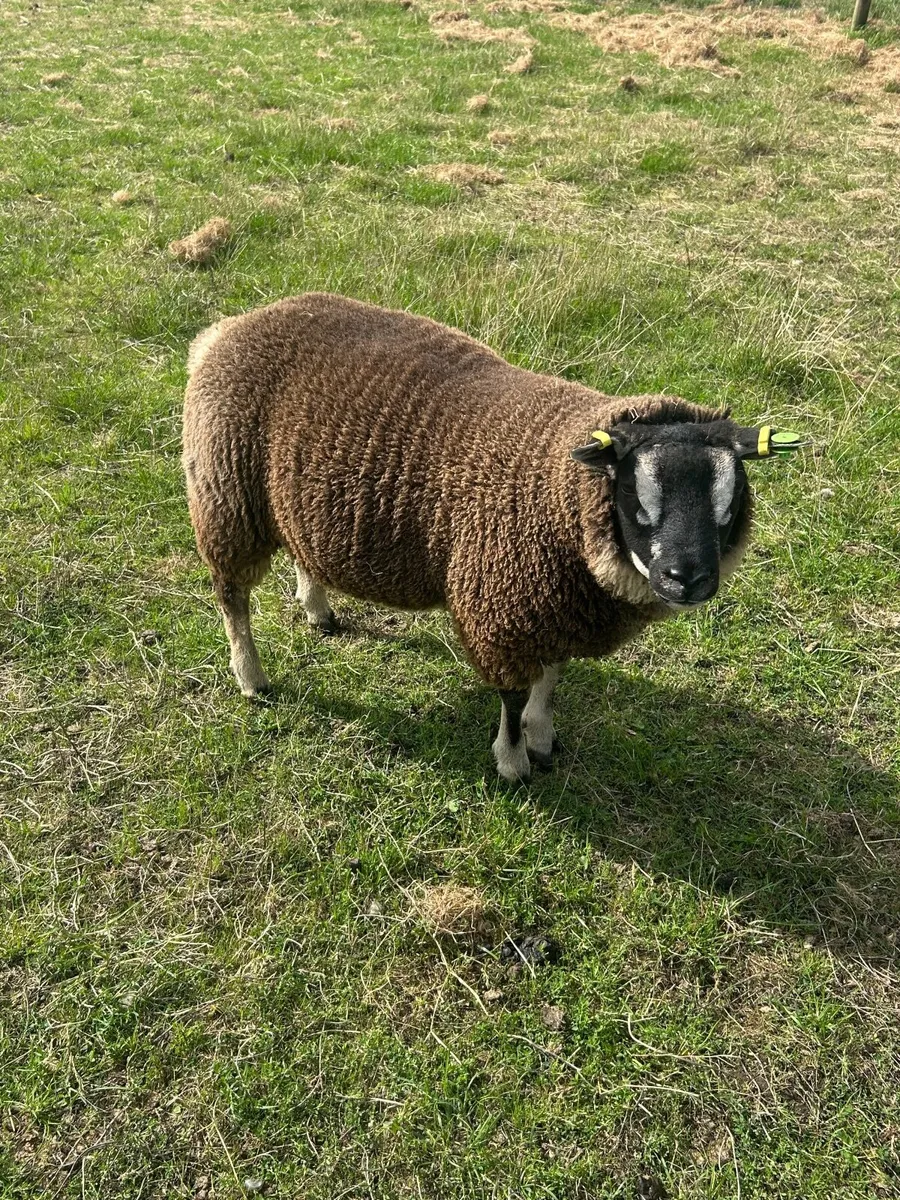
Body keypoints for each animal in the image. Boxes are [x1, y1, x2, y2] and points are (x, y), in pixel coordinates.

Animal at [182, 292, 802, 783]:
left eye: (729, 500)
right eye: (632, 489)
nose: (687, 578)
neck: (553, 484)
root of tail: (227, 328)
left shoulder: (556, 607)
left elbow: (552, 678)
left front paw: (543, 736)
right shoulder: (504, 608)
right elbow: (512, 695)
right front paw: (513, 761)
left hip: (291, 499)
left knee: (303, 553)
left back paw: (318, 610)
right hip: (226, 496)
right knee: (231, 596)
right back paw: (252, 678)